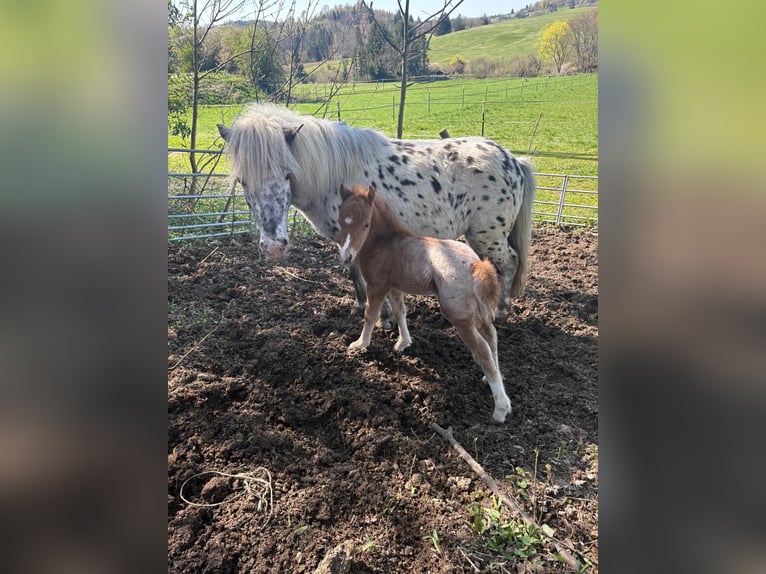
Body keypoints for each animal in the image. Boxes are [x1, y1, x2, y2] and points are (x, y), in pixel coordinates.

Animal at [217, 102, 536, 318]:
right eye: (243, 181)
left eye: (287, 174)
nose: (273, 247)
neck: (334, 175)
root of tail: (512, 160)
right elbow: (353, 272)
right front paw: (361, 306)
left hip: (488, 235)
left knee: (509, 262)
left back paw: (500, 310)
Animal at [337, 184, 512, 424]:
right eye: (340, 220)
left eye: (365, 223)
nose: (346, 256)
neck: (385, 243)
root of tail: (476, 265)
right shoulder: (394, 286)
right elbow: (400, 312)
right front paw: (402, 343)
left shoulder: (377, 286)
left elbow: (370, 315)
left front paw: (360, 344)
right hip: (480, 312)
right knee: (492, 337)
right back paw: (493, 377)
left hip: (460, 317)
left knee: (482, 349)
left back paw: (501, 409)